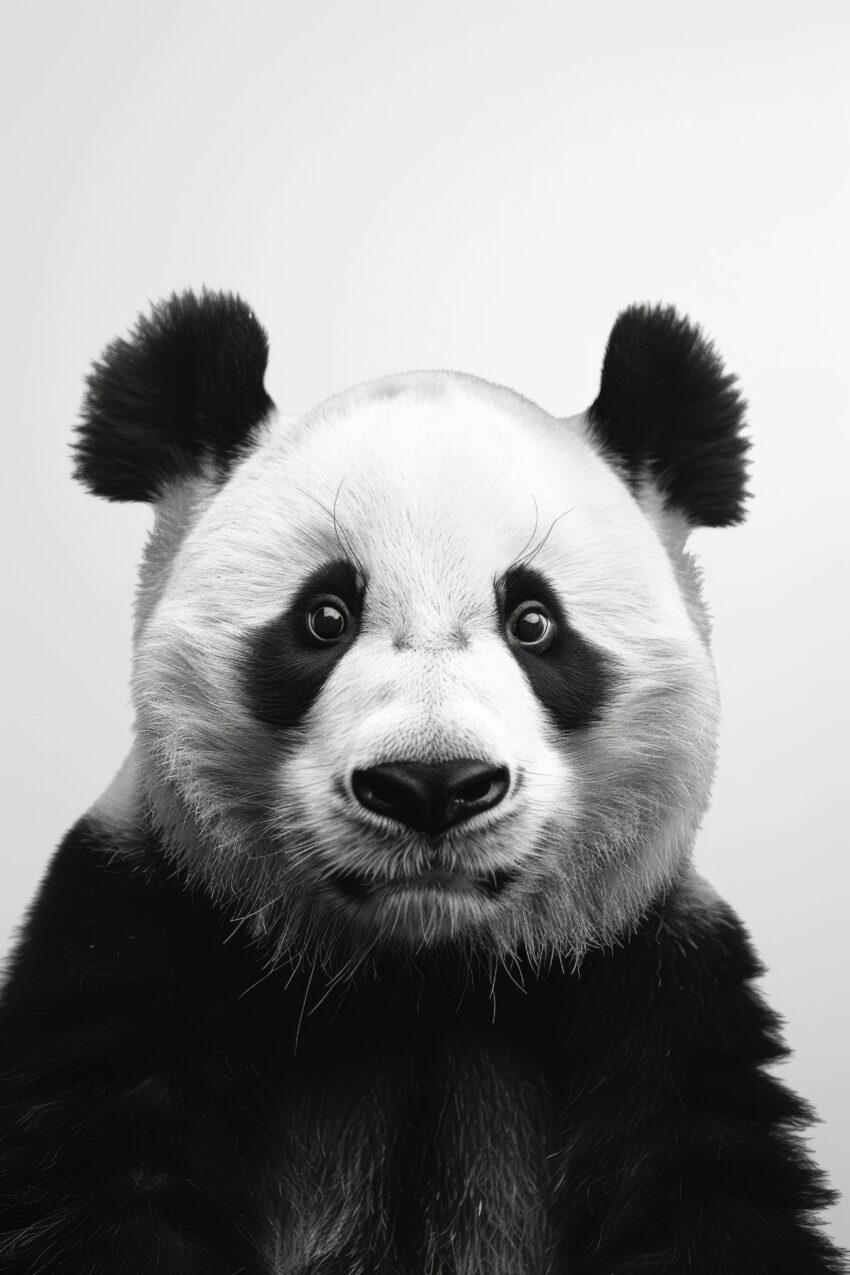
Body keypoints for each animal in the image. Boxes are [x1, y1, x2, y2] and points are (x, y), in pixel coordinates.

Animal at [0, 290, 844, 1275]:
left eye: (534, 622)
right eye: (324, 616)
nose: (432, 783)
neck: (420, 982)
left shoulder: (655, 989)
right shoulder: (137, 934)